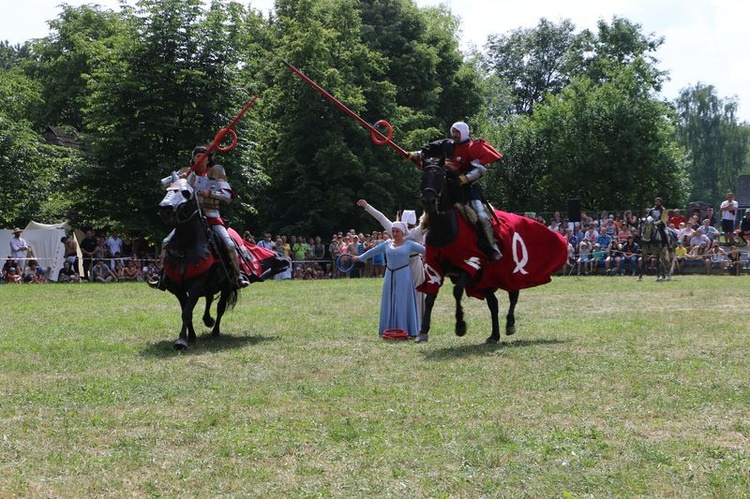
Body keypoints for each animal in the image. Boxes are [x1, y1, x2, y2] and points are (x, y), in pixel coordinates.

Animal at [418, 141, 516, 344]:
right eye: (423, 176)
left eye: (440, 176)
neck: (446, 230)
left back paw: (510, 323)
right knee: (493, 303)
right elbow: (430, 296)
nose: (429, 201)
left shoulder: (470, 264)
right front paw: (423, 331)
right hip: (486, 281)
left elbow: (457, 291)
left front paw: (460, 326)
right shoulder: (434, 267)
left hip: (507, 272)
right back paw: (494, 335)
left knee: (513, 294)